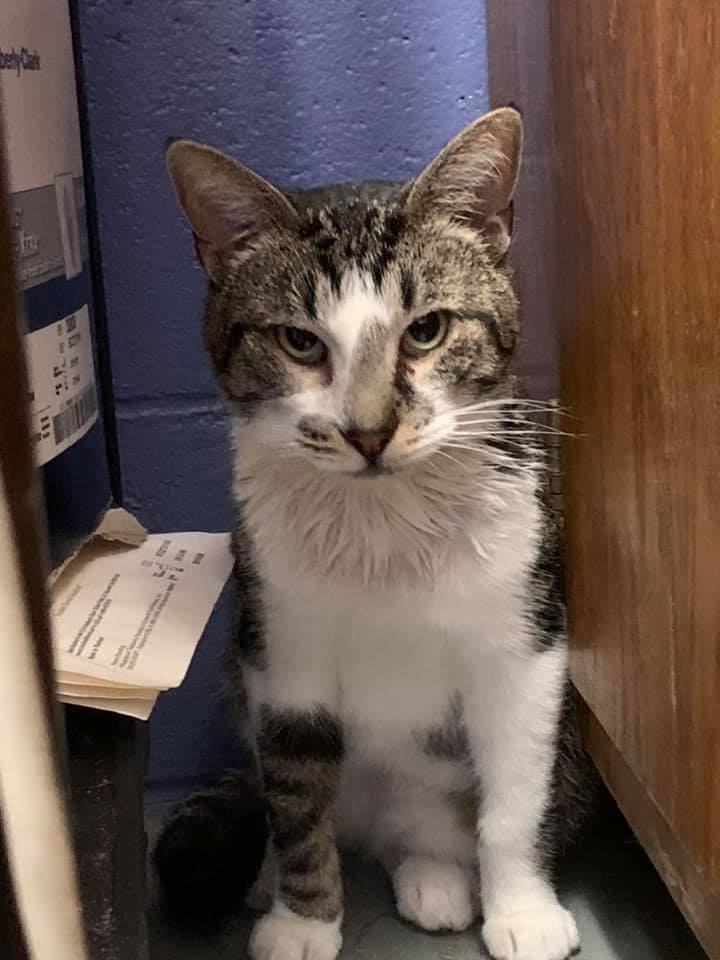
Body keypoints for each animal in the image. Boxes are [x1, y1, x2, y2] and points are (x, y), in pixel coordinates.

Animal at [156, 107, 591, 960]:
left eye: (427, 330)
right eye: (299, 342)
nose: (368, 432)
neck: (385, 524)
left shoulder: (526, 643)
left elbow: (517, 791)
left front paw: (523, 908)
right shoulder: (283, 652)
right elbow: (296, 799)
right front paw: (300, 919)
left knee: (432, 824)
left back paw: (436, 876)